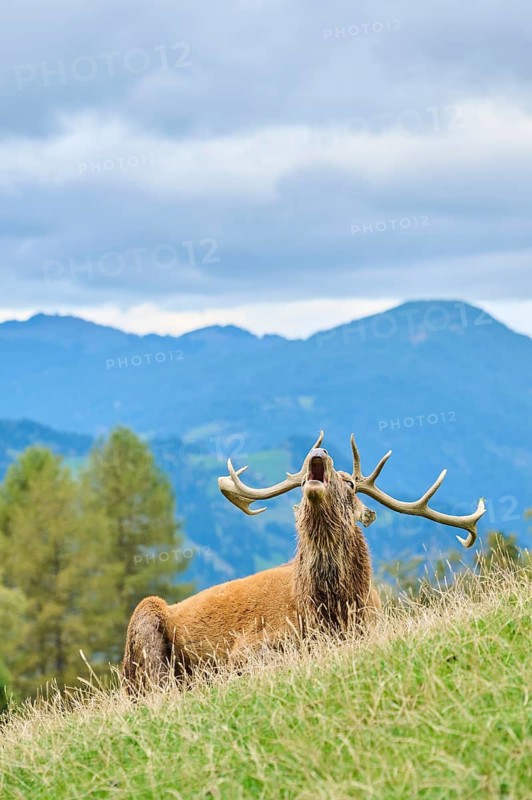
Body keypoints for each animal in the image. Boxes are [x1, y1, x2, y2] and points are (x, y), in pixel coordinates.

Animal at [123, 432, 485, 689]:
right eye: (298, 483)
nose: (319, 453)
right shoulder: (249, 646)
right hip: (145, 621)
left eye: (350, 484)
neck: (329, 610)